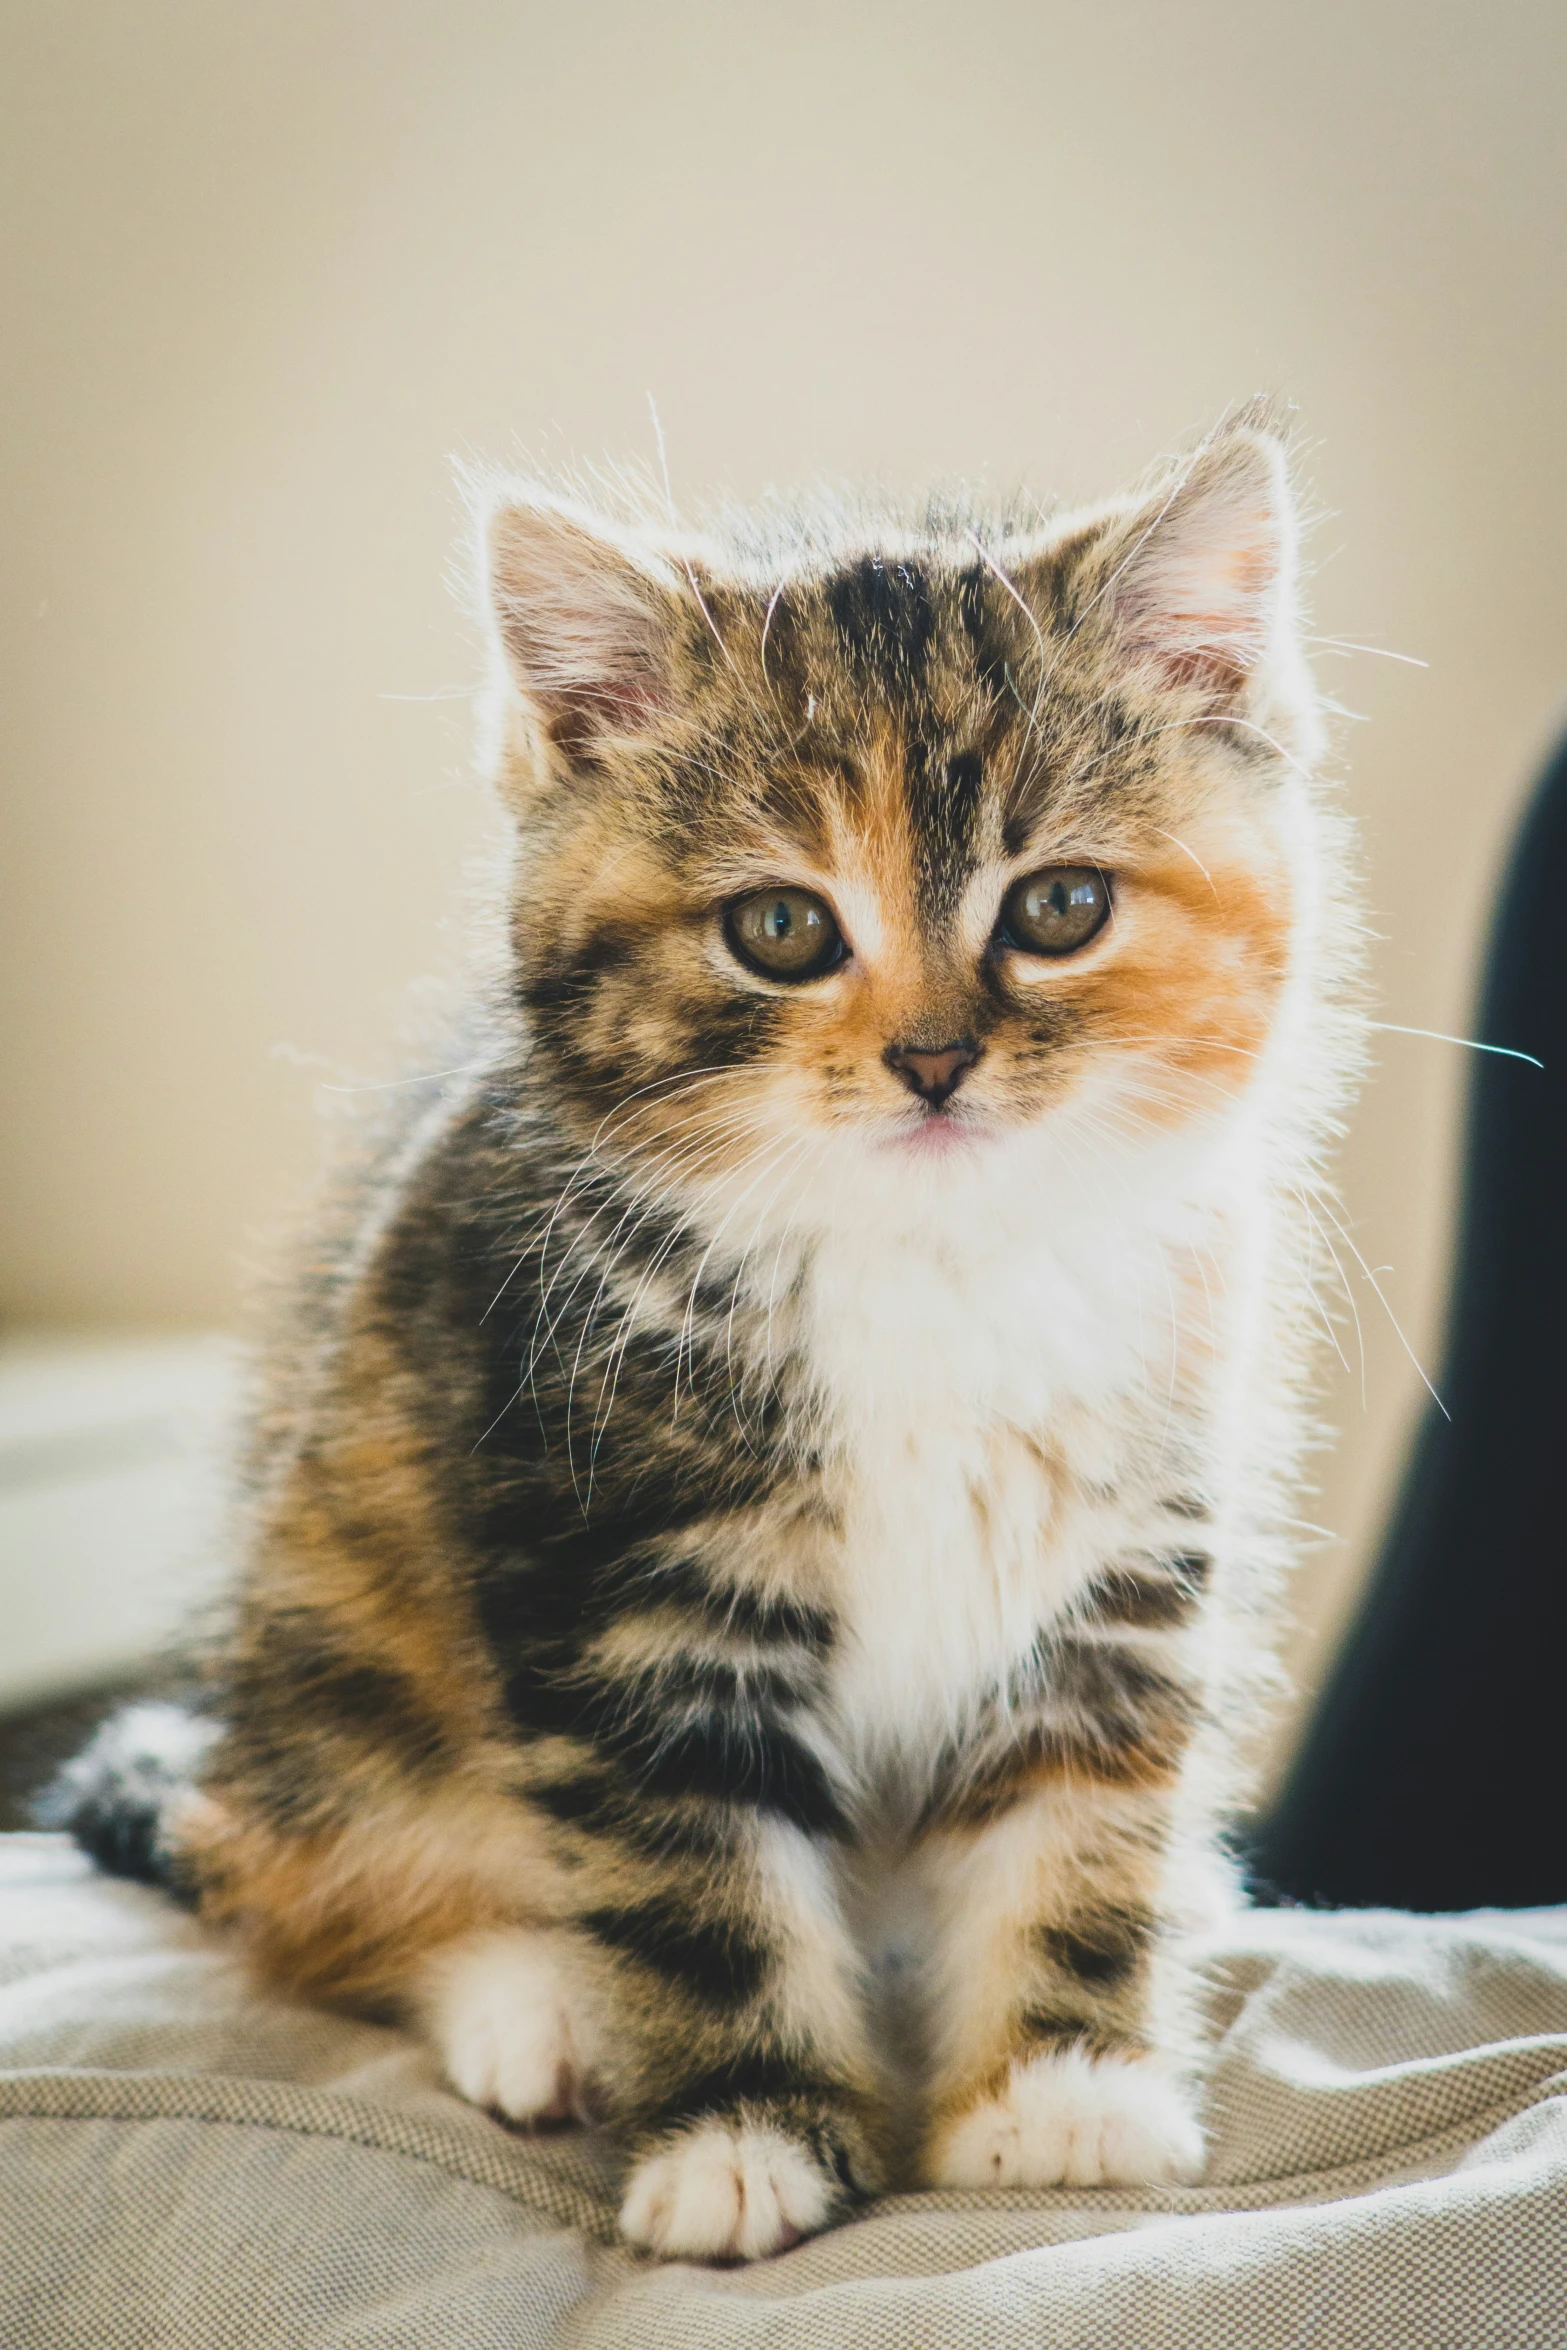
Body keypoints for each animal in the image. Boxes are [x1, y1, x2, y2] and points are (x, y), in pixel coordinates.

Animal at [55, 418, 1362, 2256]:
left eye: (1058, 906)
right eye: (781, 930)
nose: (933, 1059)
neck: (924, 1265)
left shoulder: (1119, 1566)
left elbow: (1077, 1830)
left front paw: (1056, 2087)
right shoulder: (622, 1581)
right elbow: (697, 1878)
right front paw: (742, 2134)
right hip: (333, 1649)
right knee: (317, 1893)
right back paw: (533, 2004)